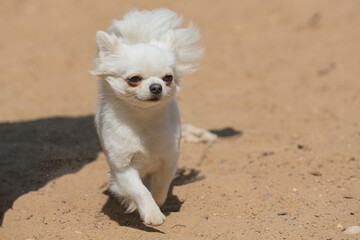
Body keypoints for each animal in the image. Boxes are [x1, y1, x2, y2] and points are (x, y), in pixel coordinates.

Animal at [91, 7, 204, 225]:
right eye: (134, 79)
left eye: (168, 78)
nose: (156, 87)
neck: (143, 119)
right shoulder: (122, 167)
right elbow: (140, 191)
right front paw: (150, 213)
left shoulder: (169, 159)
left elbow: (159, 190)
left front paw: (155, 205)